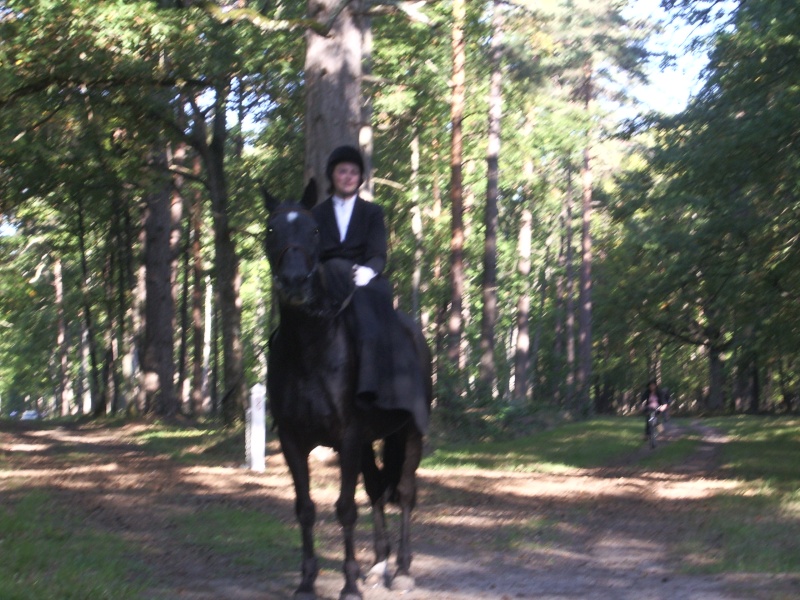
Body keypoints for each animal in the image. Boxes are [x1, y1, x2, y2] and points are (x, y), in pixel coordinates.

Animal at [262, 180, 432, 596]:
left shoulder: (348, 437)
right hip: (371, 439)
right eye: (272, 230)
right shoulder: (293, 439)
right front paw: (307, 581)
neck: (309, 349)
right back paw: (380, 565)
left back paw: (402, 569)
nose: (294, 282)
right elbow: (305, 508)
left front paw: (349, 585)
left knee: (405, 492)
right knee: (376, 489)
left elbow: (345, 509)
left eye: (313, 231)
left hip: (410, 432)